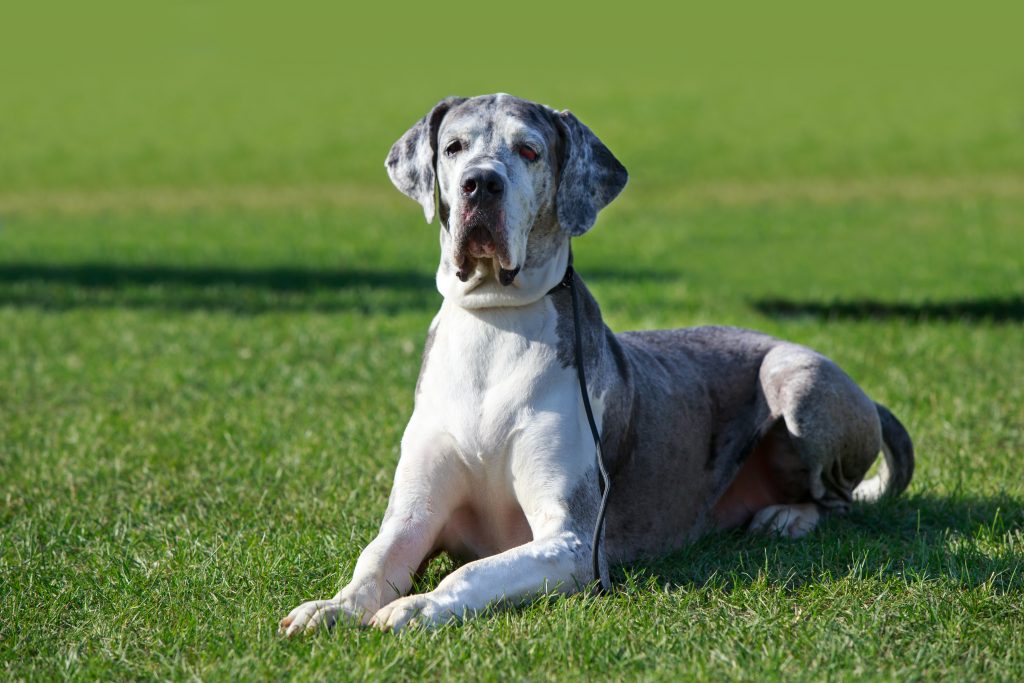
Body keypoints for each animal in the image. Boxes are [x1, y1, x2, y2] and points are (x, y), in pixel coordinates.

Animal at [278, 92, 913, 634]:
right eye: (453, 147)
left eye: (529, 150)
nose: (480, 183)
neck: (497, 321)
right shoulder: (413, 517)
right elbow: (374, 559)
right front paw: (331, 607)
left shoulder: (575, 542)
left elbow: (473, 570)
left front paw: (418, 607)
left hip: (795, 379)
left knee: (837, 501)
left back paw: (789, 518)